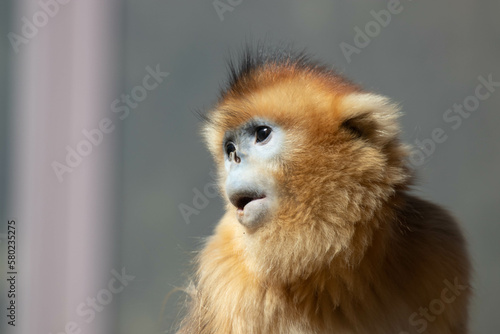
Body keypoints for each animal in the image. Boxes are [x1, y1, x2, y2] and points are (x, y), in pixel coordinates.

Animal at [178, 47, 470, 334]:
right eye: (229, 148)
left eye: (262, 134)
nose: (236, 157)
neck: (331, 265)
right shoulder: (226, 279)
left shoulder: (438, 239)